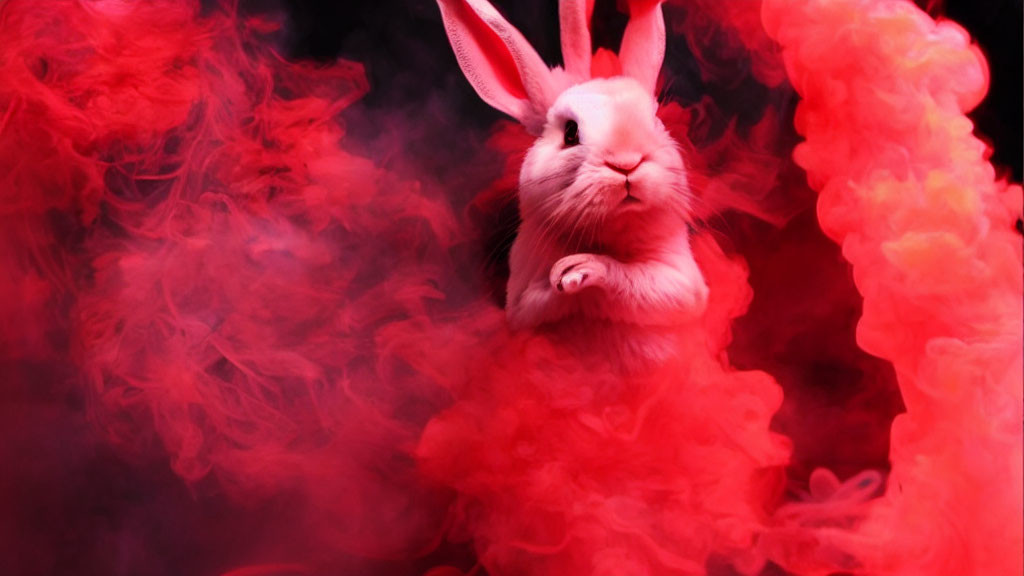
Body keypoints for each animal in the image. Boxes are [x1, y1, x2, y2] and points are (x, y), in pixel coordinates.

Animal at [436, 0, 708, 366]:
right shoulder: (519, 303)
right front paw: (565, 277)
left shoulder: (683, 283)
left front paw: (583, 269)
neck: (607, 237)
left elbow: (648, 285)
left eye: (655, 121)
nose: (626, 163)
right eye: (570, 132)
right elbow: (540, 303)